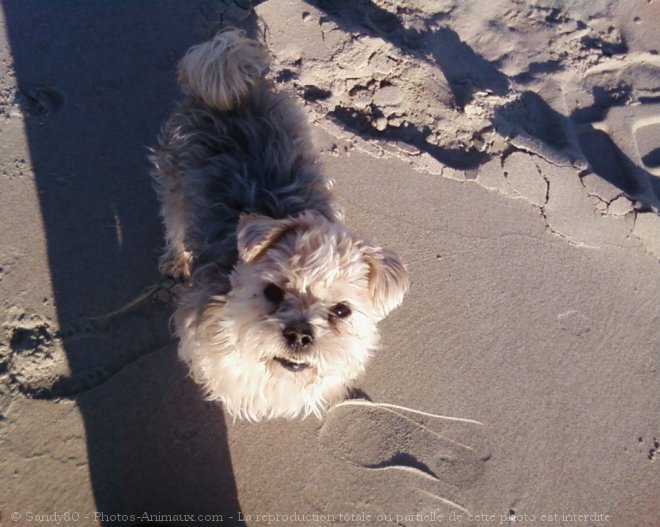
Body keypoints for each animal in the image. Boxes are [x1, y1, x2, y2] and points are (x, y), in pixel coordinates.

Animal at [151, 28, 408, 422]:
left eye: (342, 311)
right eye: (272, 292)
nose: (301, 333)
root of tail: (232, 91)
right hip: (174, 181)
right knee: (174, 224)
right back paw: (174, 260)